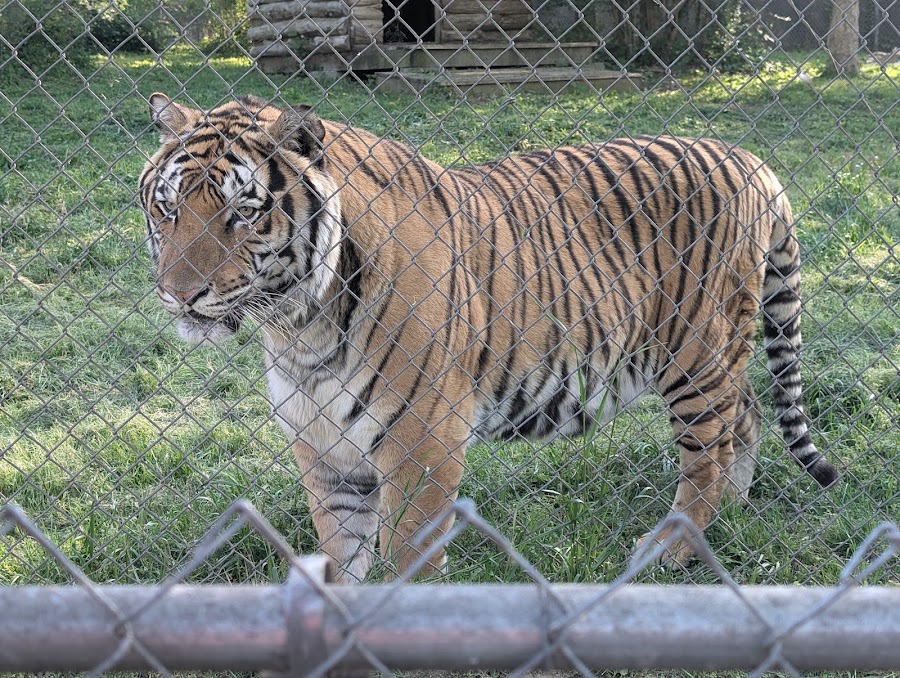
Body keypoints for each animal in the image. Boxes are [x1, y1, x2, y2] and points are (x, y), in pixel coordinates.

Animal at [139, 93, 837, 582]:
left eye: (244, 213)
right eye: (168, 208)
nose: (179, 294)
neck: (298, 326)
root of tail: (748, 158)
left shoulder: (422, 440)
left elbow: (407, 560)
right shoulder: (324, 448)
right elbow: (340, 557)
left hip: (695, 350)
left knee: (710, 447)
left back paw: (675, 544)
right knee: (745, 416)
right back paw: (730, 512)